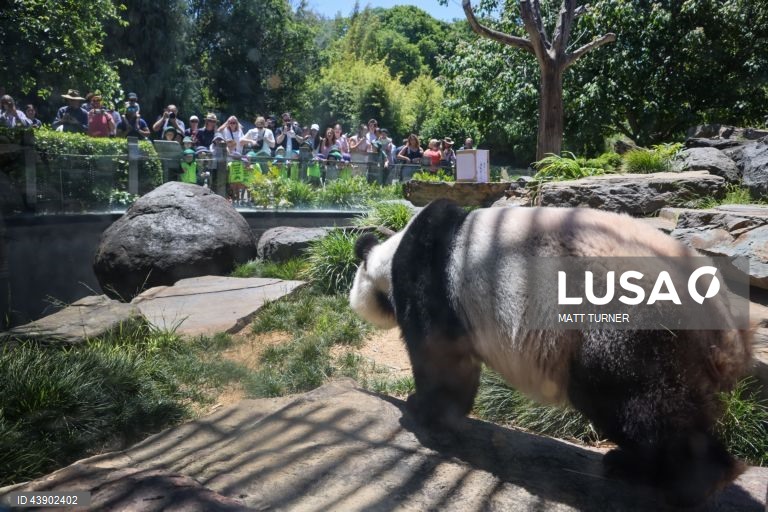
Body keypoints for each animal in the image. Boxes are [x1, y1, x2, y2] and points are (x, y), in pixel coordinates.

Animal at [349, 198, 753, 507]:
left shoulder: (431, 283)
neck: (391, 256)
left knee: (642, 403)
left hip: (630, 324)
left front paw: (422, 408)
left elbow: (442, 360)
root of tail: (723, 327)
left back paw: (682, 481)